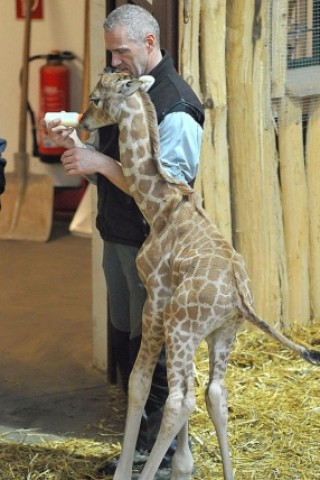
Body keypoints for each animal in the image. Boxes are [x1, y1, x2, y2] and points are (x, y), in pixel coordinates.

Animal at [80, 72, 320, 480]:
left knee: (180, 400)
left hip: (182, 326)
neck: (158, 207)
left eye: (96, 99)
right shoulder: (185, 324)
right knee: (215, 394)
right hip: (222, 332)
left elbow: (139, 382)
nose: (81, 124)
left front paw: (126, 471)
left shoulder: (155, 301)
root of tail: (240, 298)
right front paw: (183, 466)